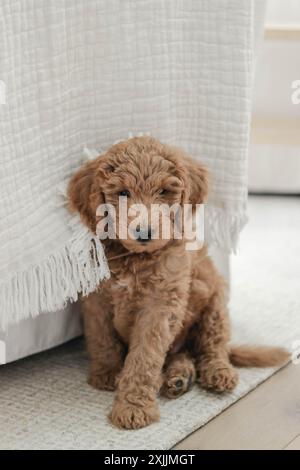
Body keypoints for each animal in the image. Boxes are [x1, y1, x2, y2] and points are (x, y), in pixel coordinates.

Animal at [67, 135, 288, 430]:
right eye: (123, 193)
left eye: (163, 192)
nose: (144, 233)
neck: (136, 258)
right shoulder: (97, 300)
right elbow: (102, 338)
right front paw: (107, 372)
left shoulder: (158, 307)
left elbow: (144, 358)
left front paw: (134, 407)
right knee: (182, 355)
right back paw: (178, 378)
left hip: (215, 304)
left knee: (213, 346)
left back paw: (217, 373)